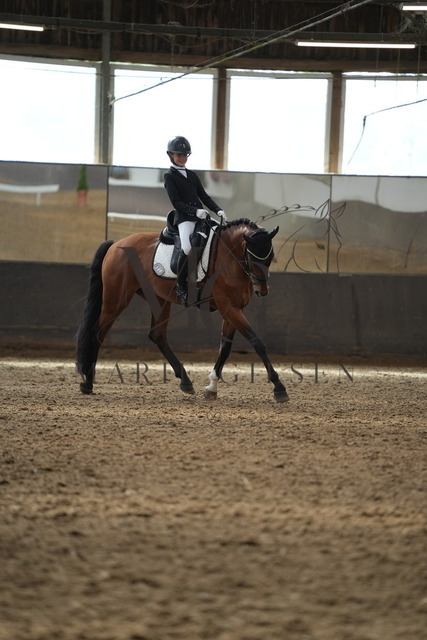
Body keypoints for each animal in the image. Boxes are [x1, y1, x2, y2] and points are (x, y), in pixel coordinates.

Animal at [76, 217, 289, 403]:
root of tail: (116, 244)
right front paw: (279, 388)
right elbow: (257, 342)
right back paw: (88, 383)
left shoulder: (234, 309)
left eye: (270, 257)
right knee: (96, 332)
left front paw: (211, 388)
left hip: (159, 300)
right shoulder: (229, 307)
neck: (228, 255)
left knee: (157, 335)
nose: (262, 291)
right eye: (252, 257)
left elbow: (225, 349)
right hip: (116, 299)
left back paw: (185, 381)